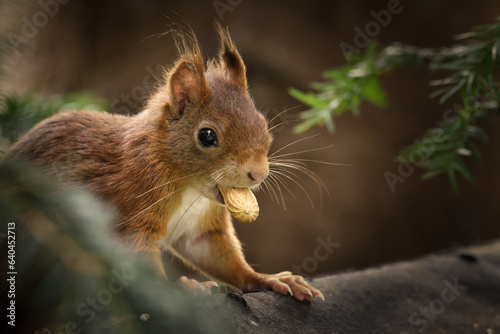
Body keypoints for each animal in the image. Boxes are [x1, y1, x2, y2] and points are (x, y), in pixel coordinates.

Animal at [6, 25, 324, 302]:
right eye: (207, 135)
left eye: (262, 123)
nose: (258, 174)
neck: (190, 186)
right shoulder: (134, 204)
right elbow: (138, 254)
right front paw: (180, 288)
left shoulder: (201, 229)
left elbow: (219, 256)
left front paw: (270, 279)